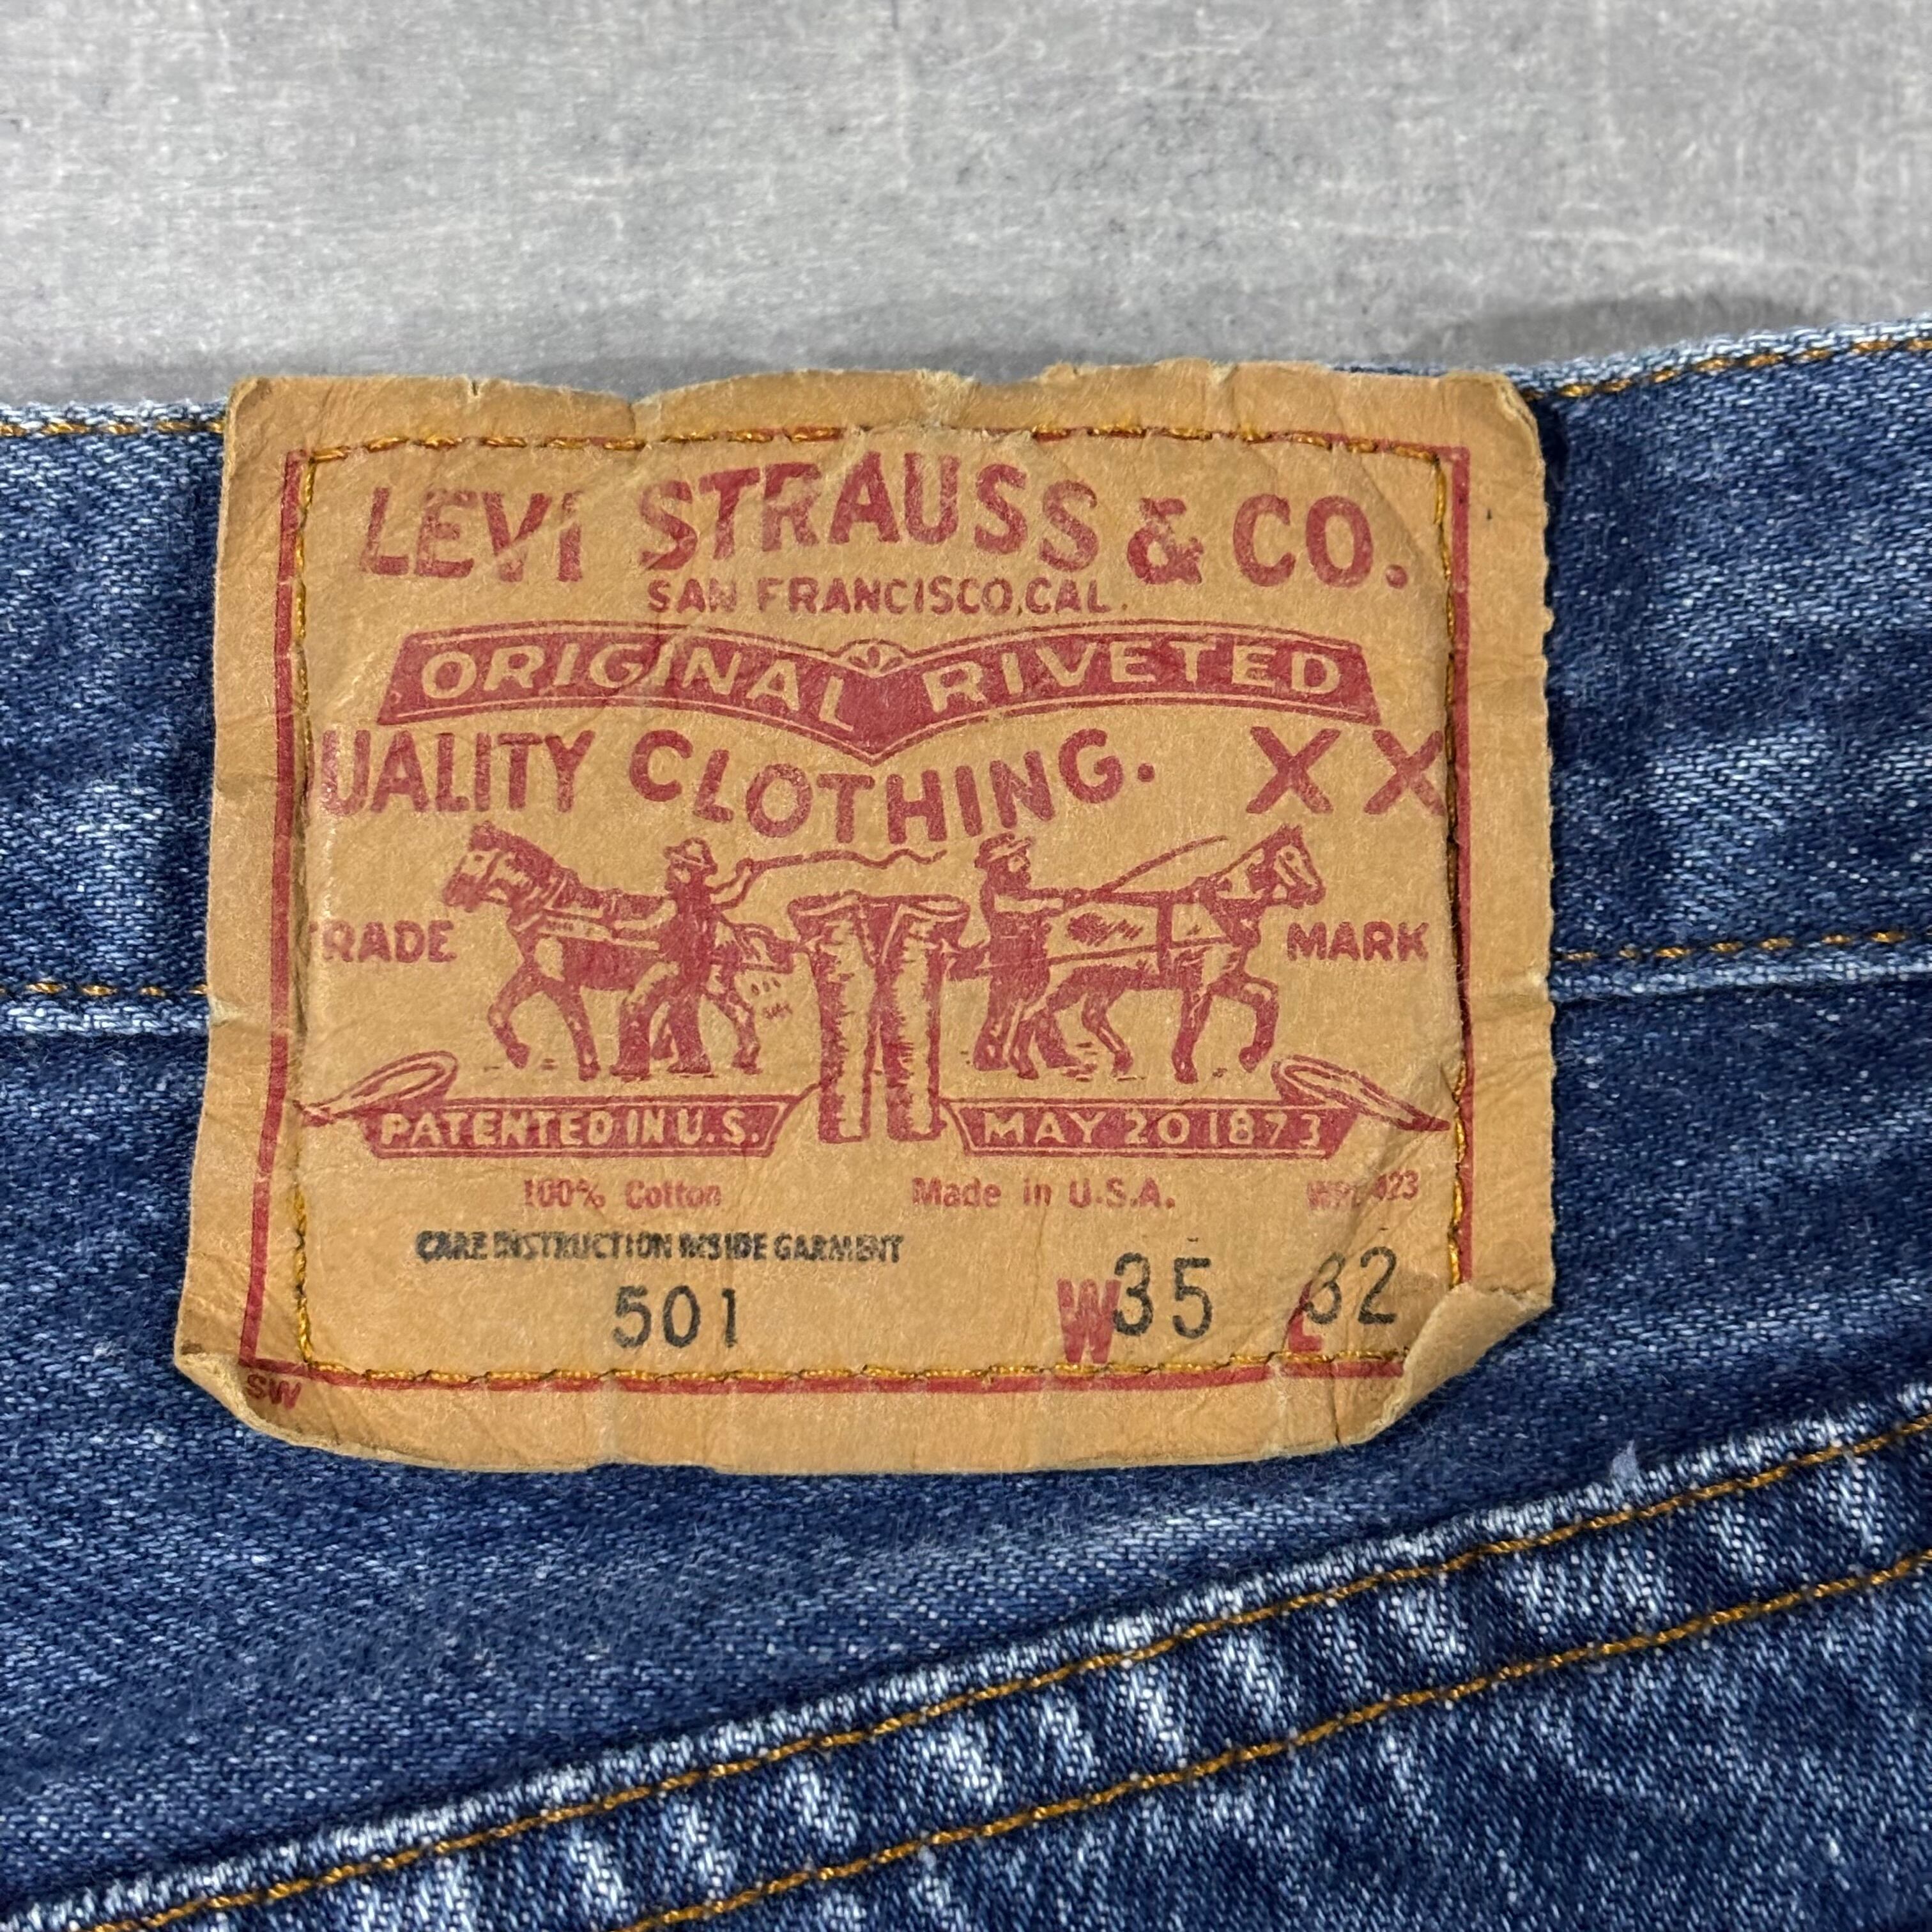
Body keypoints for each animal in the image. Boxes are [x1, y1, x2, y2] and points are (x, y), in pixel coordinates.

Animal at [440, 824, 788, 1081]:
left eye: (477, 857)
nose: (449, 894)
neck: (550, 906)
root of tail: (725, 924)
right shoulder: (535, 973)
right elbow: (498, 1011)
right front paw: (520, 1054)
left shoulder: (559, 981)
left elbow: (575, 1019)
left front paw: (588, 1066)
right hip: (702, 985)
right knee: (715, 1013)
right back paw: (713, 1062)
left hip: (703, 982)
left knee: (728, 1012)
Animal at [1006, 824, 1325, 1084]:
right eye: (1290, 857)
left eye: (1305, 855)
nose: (1316, 892)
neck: (1226, 906)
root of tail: (1048, 917)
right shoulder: (1200, 984)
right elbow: (1193, 1023)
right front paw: (1185, 1070)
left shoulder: (1227, 978)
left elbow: (1267, 998)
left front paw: (1250, 1056)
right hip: (1065, 980)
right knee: (1031, 1013)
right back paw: (1026, 1066)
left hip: (1106, 980)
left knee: (1090, 1016)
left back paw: (1121, 1061)